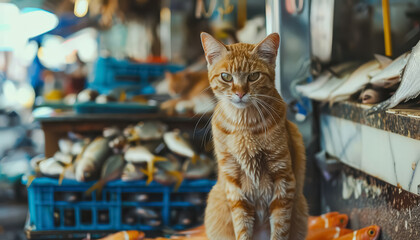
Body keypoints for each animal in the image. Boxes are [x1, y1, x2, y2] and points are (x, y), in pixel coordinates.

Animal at [202, 32, 306, 240]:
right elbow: (242, 227)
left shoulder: (283, 178)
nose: (240, 93)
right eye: (226, 77)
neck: (245, 127)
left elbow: (280, 227)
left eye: (253, 76)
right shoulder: (234, 184)